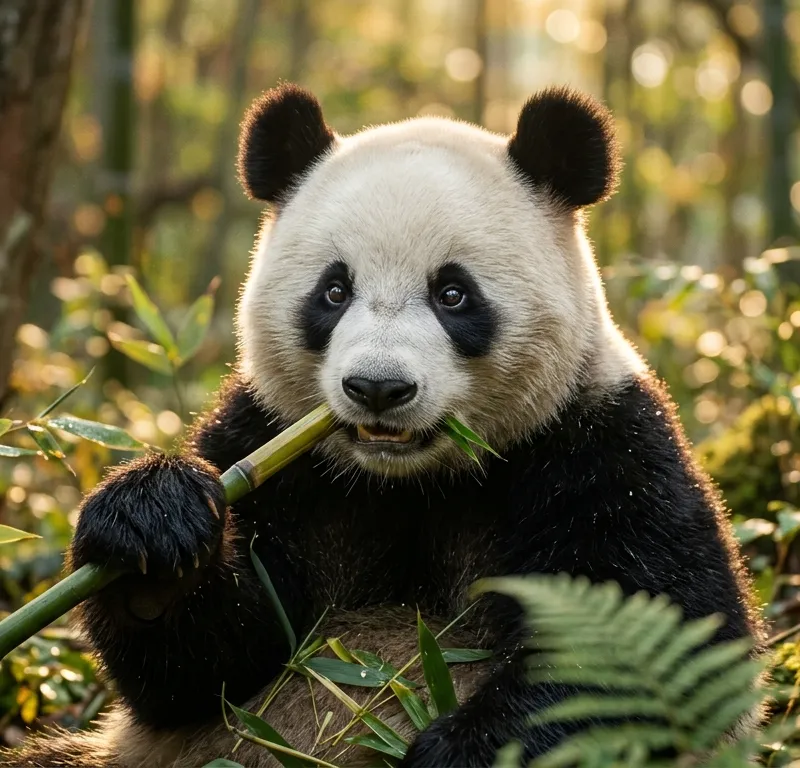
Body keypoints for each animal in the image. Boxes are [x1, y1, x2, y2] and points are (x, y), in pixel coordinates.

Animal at [1, 83, 764, 767]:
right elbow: (203, 671)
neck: (410, 482)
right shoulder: (268, 445)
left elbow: (650, 649)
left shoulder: (599, 444)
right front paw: (154, 529)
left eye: (453, 293)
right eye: (334, 291)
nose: (377, 388)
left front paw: (452, 751)